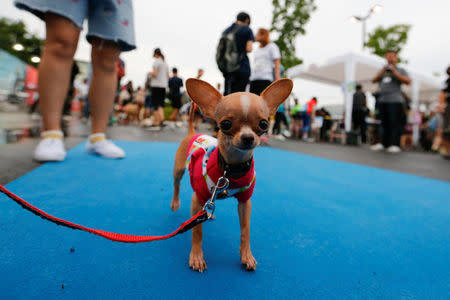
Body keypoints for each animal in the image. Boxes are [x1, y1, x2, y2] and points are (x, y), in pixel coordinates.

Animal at [171, 77, 294, 272]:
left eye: (264, 124)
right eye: (225, 124)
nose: (248, 137)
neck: (231, 169)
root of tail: (192, 132)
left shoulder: (245, 202)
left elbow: (245, 231)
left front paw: (247, 255)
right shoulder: (197, 198)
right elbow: (197, 232)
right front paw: (196, 257)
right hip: (178, 170)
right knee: (176, 184)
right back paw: (175, 202)